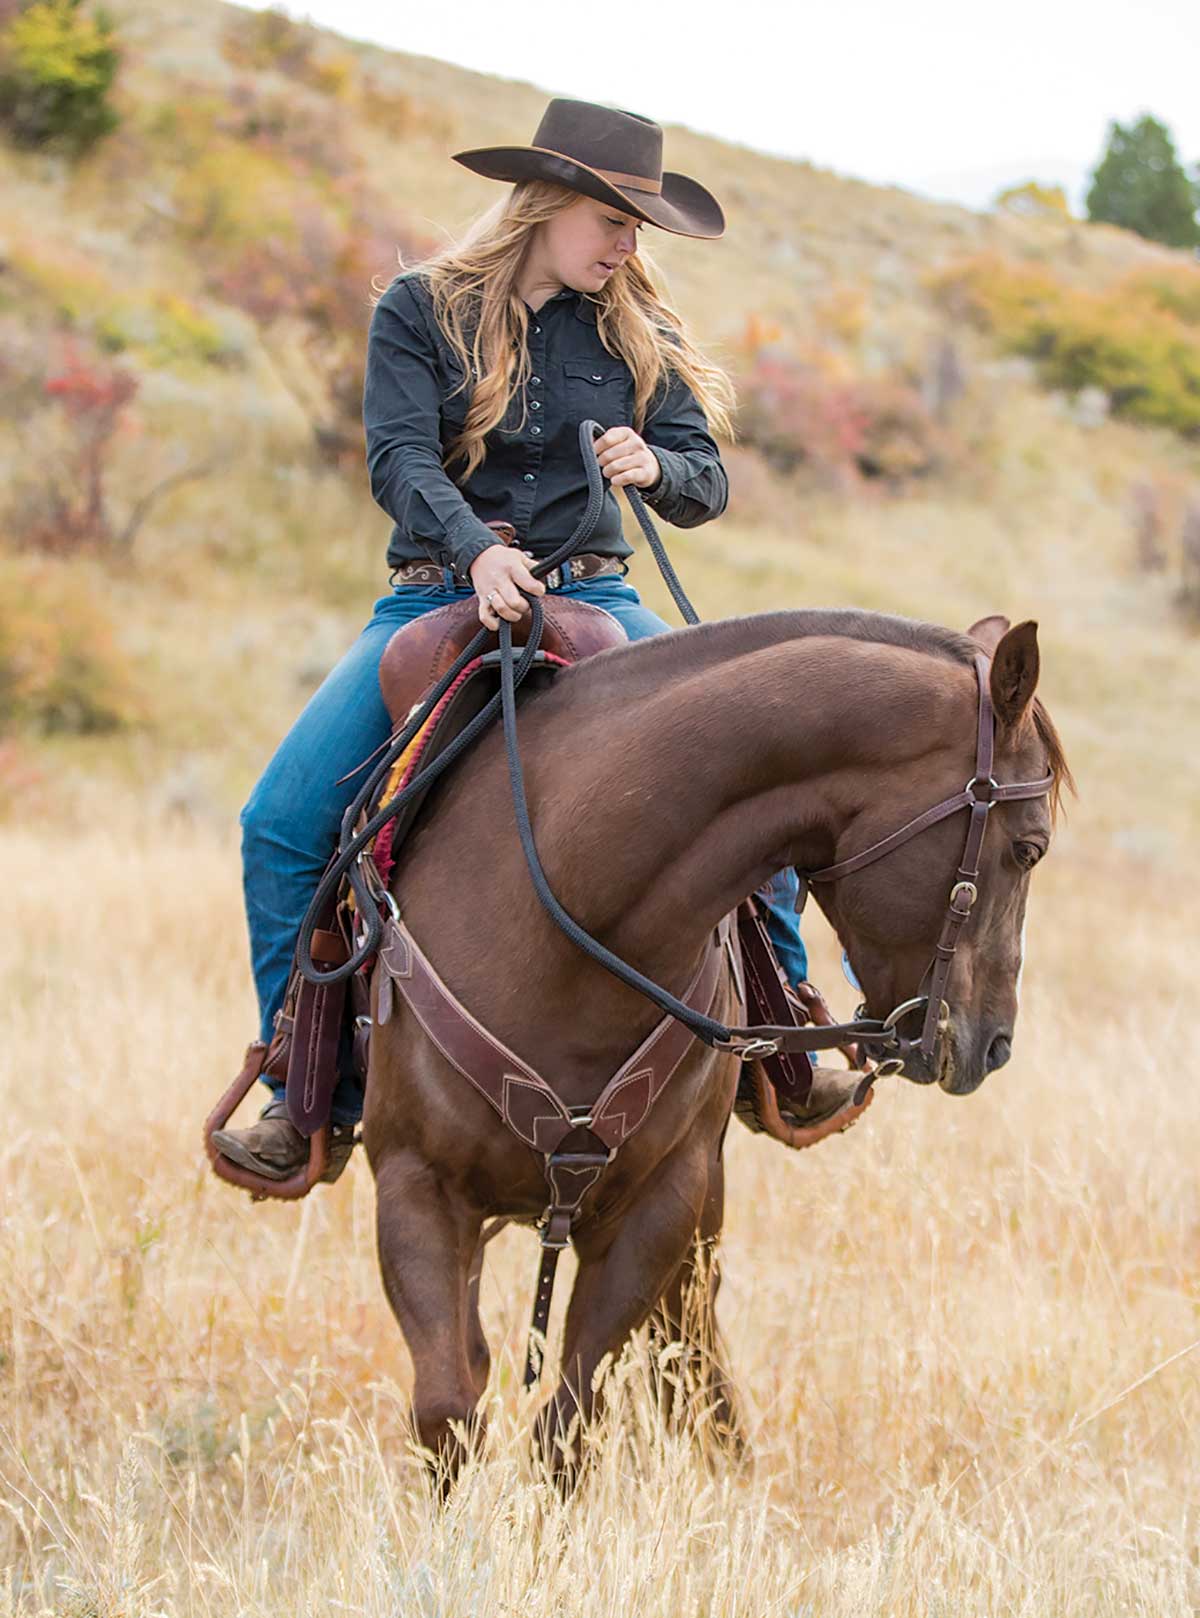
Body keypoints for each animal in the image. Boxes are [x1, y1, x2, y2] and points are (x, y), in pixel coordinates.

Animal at [363, 605, 1073, 1482]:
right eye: (1029, 847)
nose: (994, 1042)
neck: (570, 918)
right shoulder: (416, 1185)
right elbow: (448, 1411)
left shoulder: (661, 1204)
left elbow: (570, 1424)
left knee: (689, 1339)